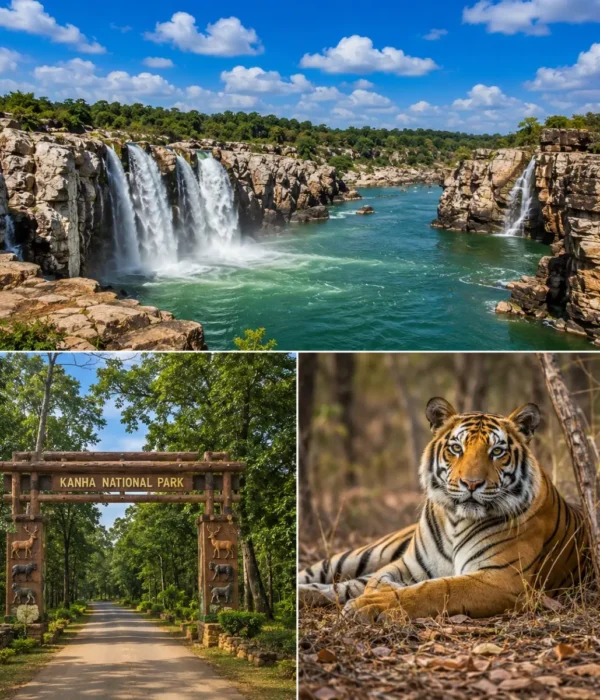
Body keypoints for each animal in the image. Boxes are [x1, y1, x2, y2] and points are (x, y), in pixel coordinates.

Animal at [298, 397, 589, 621]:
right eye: (456, 448)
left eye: (497, 452)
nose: (471, 483)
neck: (456, 521)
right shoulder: (407, 564)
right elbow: (378, 581)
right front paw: (376, 592)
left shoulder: (503, 578)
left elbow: (435, 589)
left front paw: (373, 603)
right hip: (366, 553)